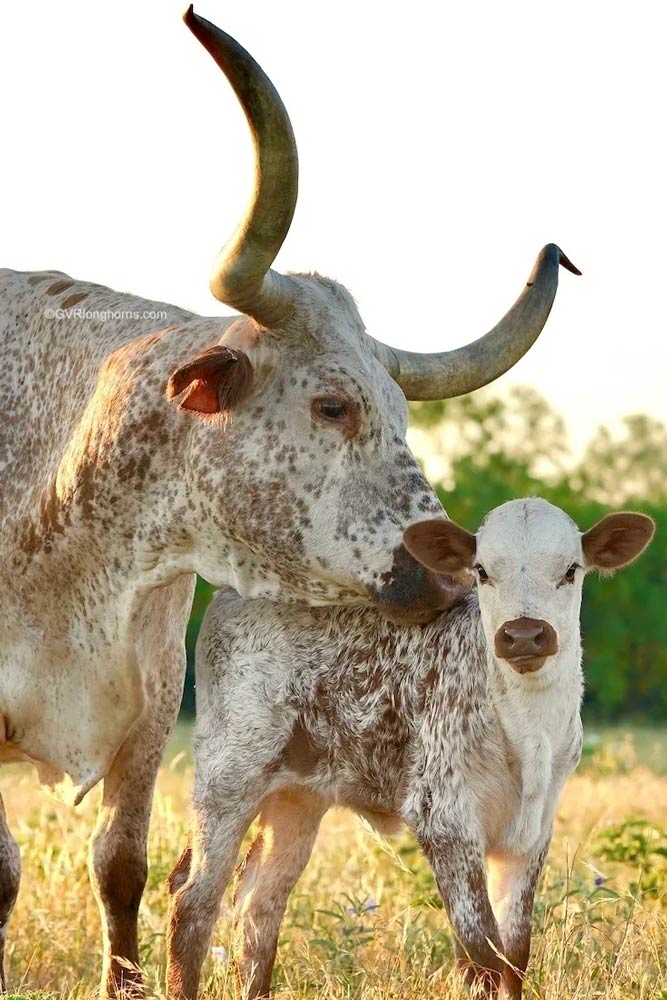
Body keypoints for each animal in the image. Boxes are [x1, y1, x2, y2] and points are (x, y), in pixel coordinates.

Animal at [166, 500, 652, 1000]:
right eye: (482, 571)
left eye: (571, 570)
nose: (522, 634)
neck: (527, 725)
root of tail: (234, 593)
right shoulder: (444, 818)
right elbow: (482, 951)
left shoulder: (533, 830)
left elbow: (513, 954)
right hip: (228, 775)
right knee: (195, 899)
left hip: (297, 797)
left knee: (259, 902)